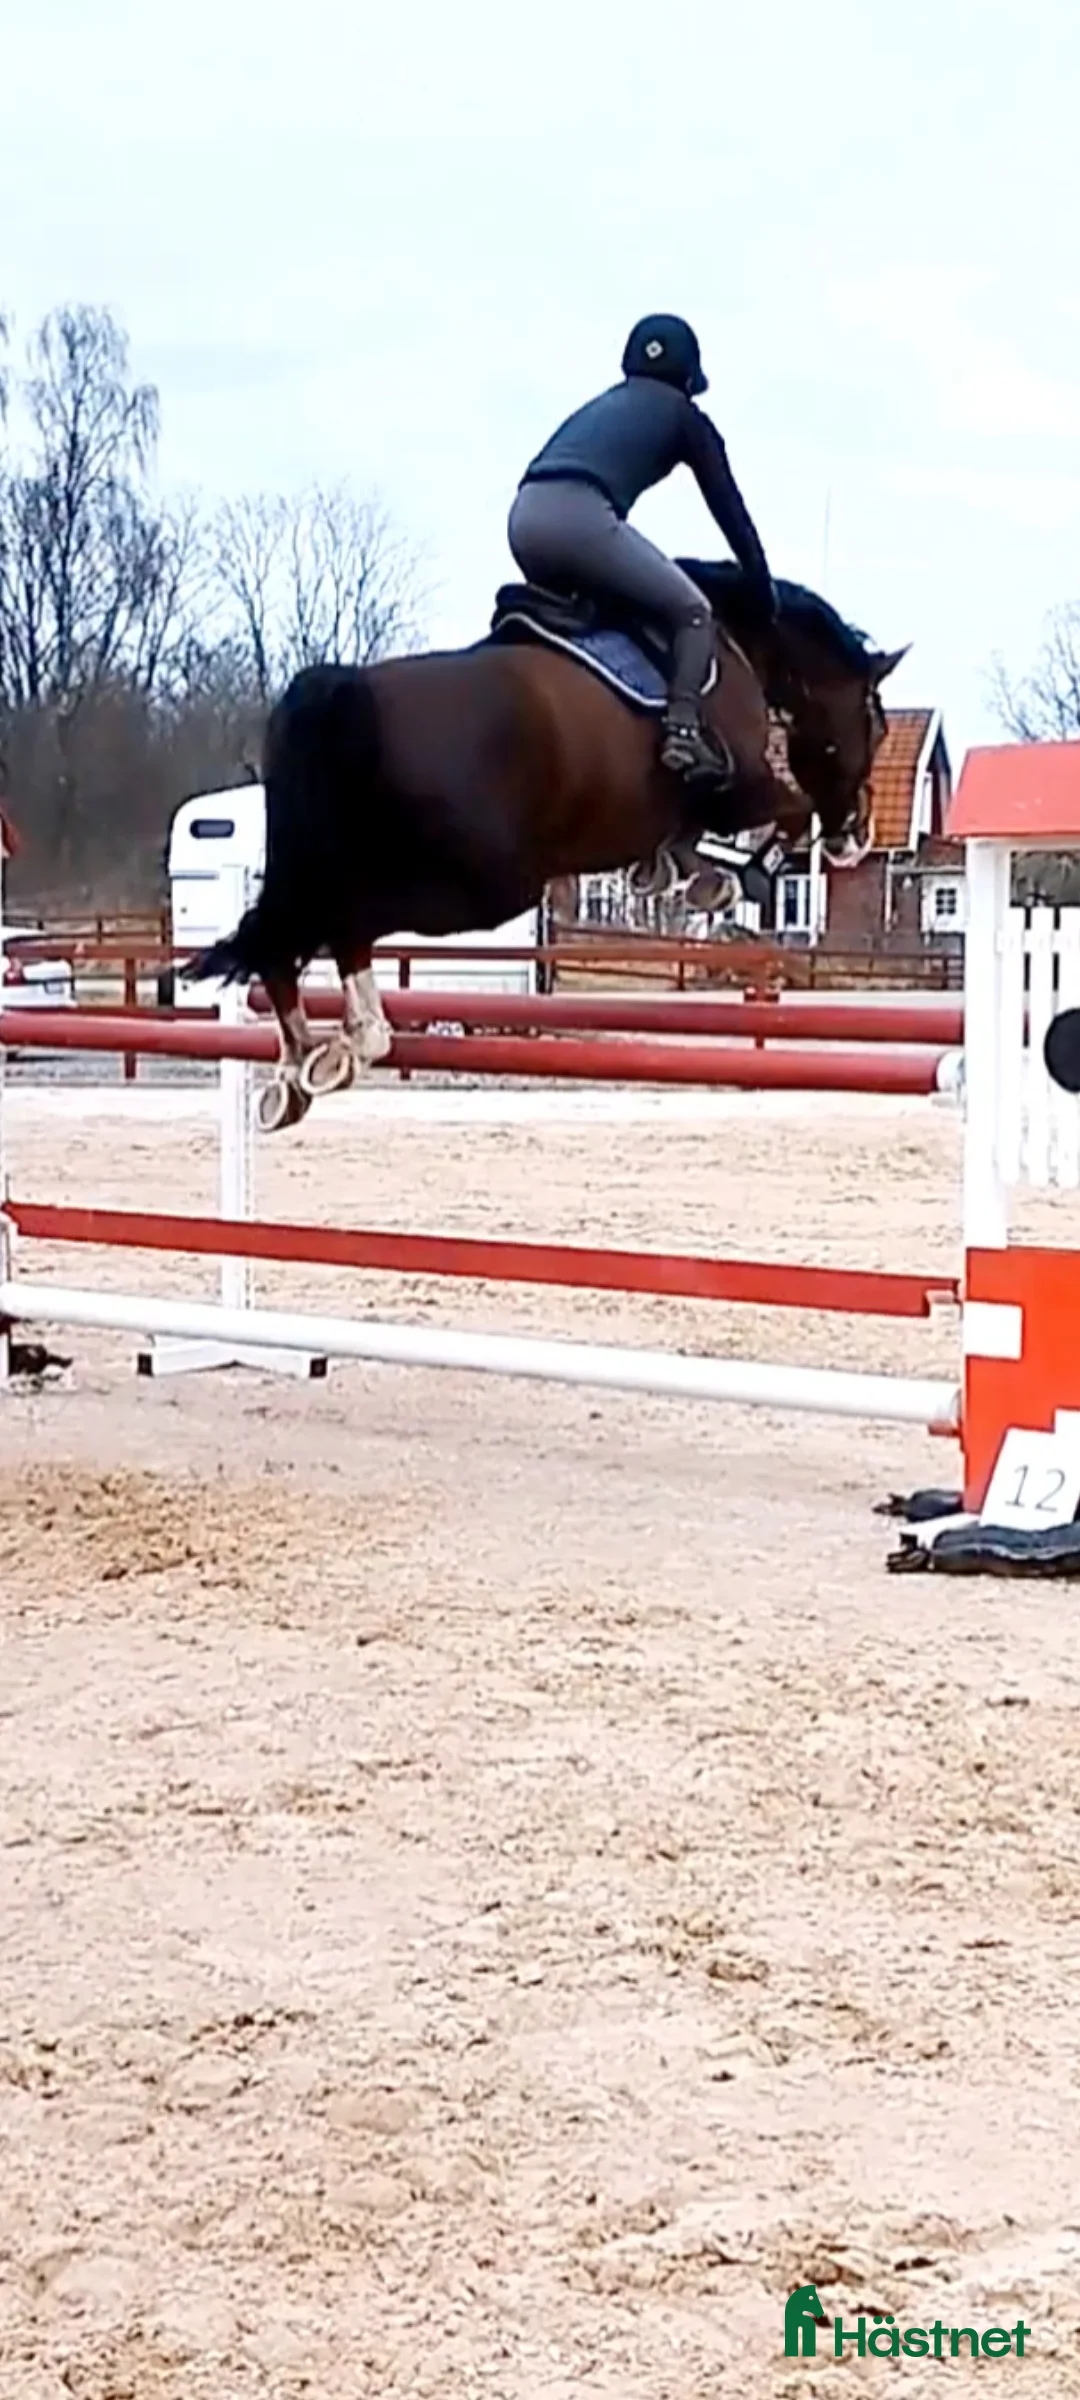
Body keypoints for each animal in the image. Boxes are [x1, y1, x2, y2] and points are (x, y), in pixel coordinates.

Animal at [185, 565, 907, 1131]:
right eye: (874, 721)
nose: (857, 832)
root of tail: (346, 694)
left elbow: (684, 846)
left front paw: (680, 872)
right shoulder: (746, 788)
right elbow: (788, 813)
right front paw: (737, 878)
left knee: (288, 931)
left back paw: (297, 1064)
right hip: (478, 887)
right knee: (336, 922)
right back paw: (356, 1039)